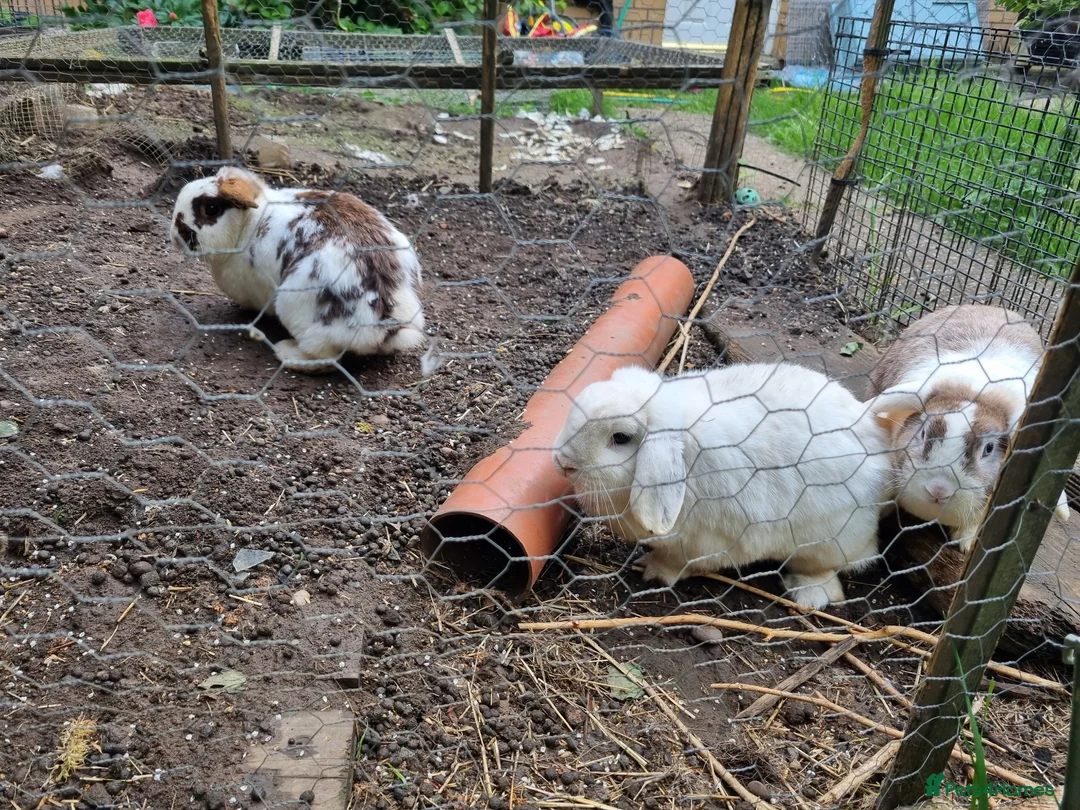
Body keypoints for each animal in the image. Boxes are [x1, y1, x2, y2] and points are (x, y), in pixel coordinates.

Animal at [170, 166, 426, 372]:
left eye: (211, 208)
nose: (175, 234)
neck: (249, 224)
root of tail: (384, 323)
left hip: (294, 307)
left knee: (325, 359)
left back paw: (286, 352)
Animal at [551, 362, 894, 608]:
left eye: (620, 438)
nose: (563, 462)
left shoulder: (698, 544)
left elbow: (675, 564)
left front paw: (652, 571)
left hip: (825, 542)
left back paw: (807, 593)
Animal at [866, 304, 1070, 552]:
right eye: (923, 433)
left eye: (989, 448)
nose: (939, 490)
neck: (975, 391)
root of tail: (992, 306)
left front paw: (966, 544)